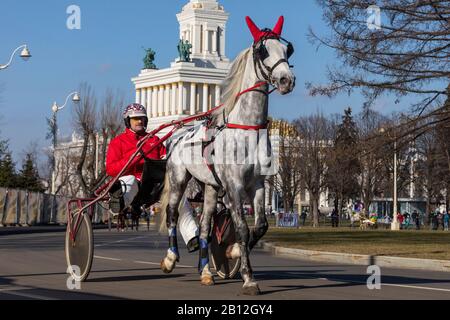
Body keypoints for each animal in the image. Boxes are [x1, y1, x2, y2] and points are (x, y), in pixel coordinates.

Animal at [158, 15, 296, 296]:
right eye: (262, 50)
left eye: (287, 50)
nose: (287, 80)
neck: (247, 129)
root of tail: (177, 135)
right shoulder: (233, 186)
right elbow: (242, 228)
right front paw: (248, 277)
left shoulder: (258, 184)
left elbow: (260, 225)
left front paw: (232, 251)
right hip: (178, 180)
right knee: (172, 213)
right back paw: (170, 258)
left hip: (210, 188)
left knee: (204, 228)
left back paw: (206, 272)